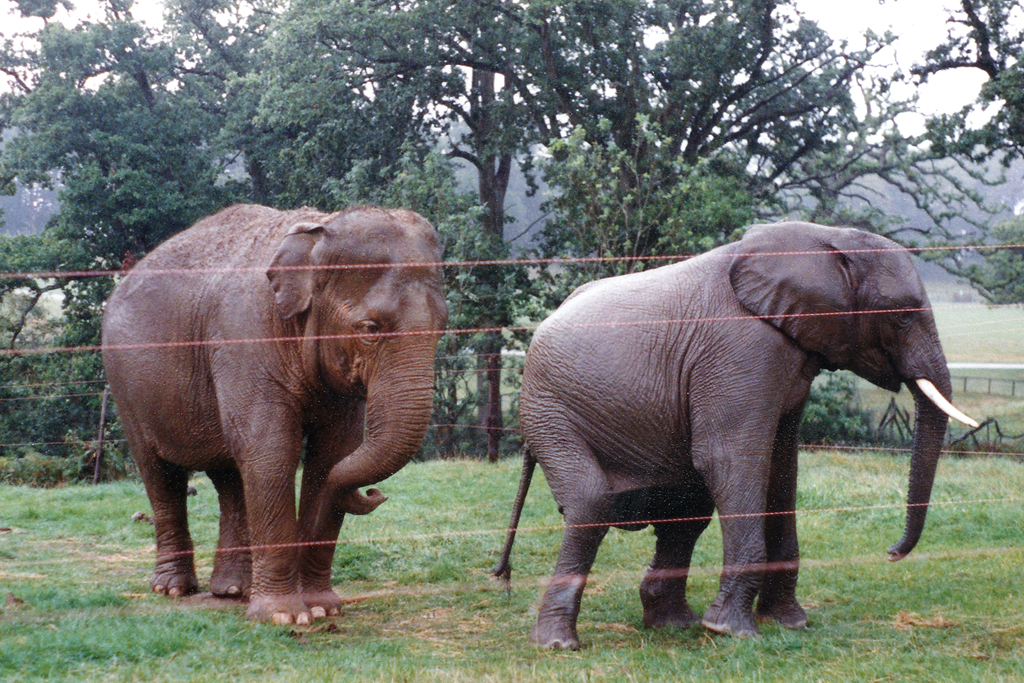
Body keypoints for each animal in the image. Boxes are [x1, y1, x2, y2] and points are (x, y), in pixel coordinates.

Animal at [102, 204, 447, 625]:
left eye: (443, 328)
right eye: (370, 328)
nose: (374, 493)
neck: (320, 229)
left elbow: (331, 457)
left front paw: (321, 607)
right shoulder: (245, 340)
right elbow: (272, 451)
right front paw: (284, 617)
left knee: (230, 478)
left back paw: (234, 589)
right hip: (126, 388)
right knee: (160, 474)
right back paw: (173, 589)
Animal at [492, 221, 977, 649]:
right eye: (902, 316)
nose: (891, 553)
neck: (823, 238)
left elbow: (781, 467)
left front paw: (788, 623)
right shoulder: (741, 351)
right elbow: (730, 459)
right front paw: (734, 633)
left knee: (688, 509)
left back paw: (674, 625)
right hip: (548, 407)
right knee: (592, 502)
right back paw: (559, 643)